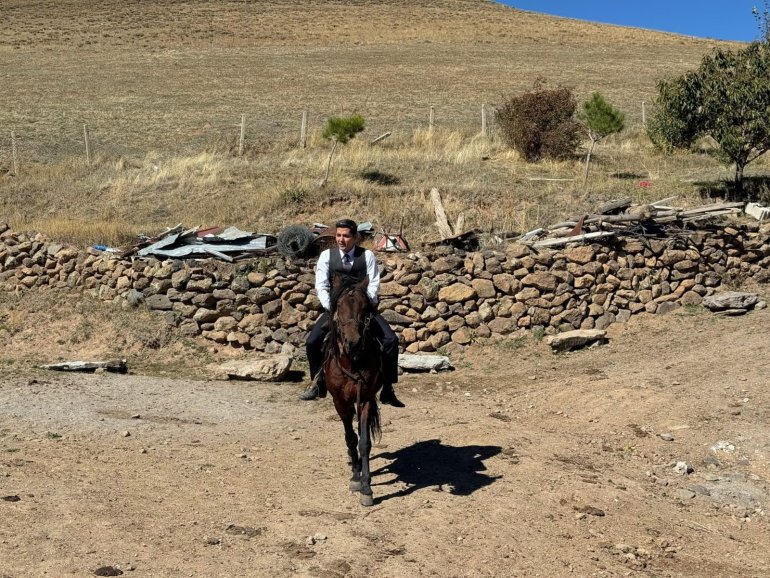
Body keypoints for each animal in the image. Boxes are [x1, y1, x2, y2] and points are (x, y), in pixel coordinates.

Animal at [320, 272, 380, 502]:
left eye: (365, 307)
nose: (352, 342)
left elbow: (364, 442)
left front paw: (366, 486)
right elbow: (351, 438)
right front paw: (355, 476)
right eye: (339, 305)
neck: (352, 361)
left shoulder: (365, 399)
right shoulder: (340, 402)